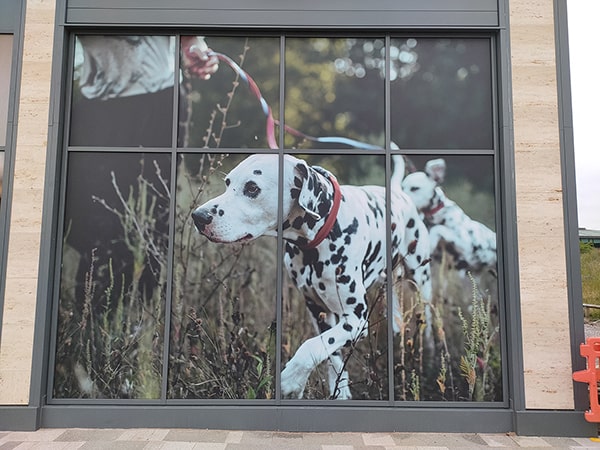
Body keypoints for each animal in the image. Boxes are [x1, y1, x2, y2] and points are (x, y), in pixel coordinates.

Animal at [192, 154, 432, 398]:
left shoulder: (356, 319)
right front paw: (339, 391)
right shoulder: (319, 312)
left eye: (252, 188)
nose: (198, 216)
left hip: (420, 277)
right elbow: (328, 353)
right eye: (228, 183)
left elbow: (310, 346)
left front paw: (291, 380)